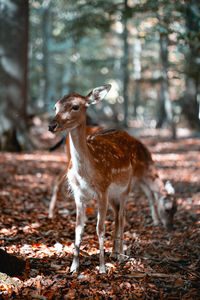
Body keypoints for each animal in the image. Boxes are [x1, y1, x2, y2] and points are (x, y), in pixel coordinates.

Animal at [48, 84, 177, 274]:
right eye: (55, 107)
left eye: (75, 106)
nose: (52, 125)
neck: (86, 174)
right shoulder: (79, 194)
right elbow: (78, 228)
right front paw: (73, 267)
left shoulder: (102, 190)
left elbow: (100, 228)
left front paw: (101, 268)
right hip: (112, 192)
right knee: (117, 213)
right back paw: (115, 253)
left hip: (125, 187)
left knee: (122, 216)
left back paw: (121, 255)